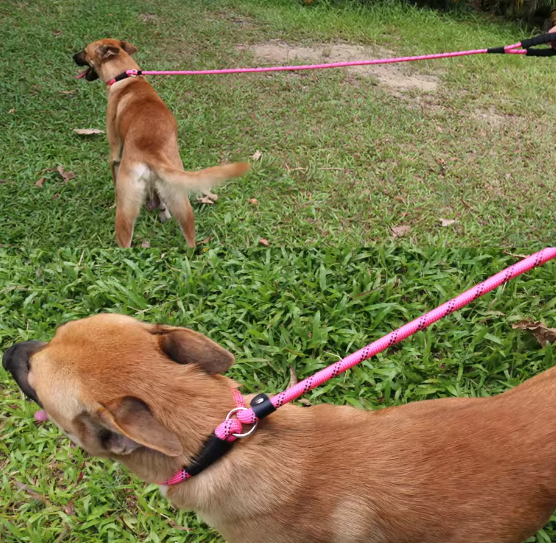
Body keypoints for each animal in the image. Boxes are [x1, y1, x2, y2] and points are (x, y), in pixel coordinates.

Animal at [72, 39, 250, 248]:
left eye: (85, 51)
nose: (73, 56)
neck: (126, 77)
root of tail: (151, 153)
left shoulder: (115, 153)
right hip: (179, 197)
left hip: (127, 208)